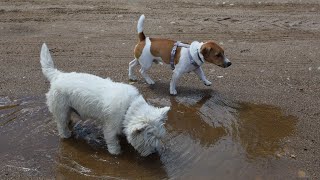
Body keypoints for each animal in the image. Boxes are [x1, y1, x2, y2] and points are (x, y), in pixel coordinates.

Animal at [40, 43, 170, 156]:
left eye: (160, 137)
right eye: (149, 141)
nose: (154, 152)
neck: (129, 107)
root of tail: (58, 75)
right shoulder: (109, 127)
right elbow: (112, 140)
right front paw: (116, 152)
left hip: (67, 108)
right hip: (61, 107)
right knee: (61, 124)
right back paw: (66, 134)